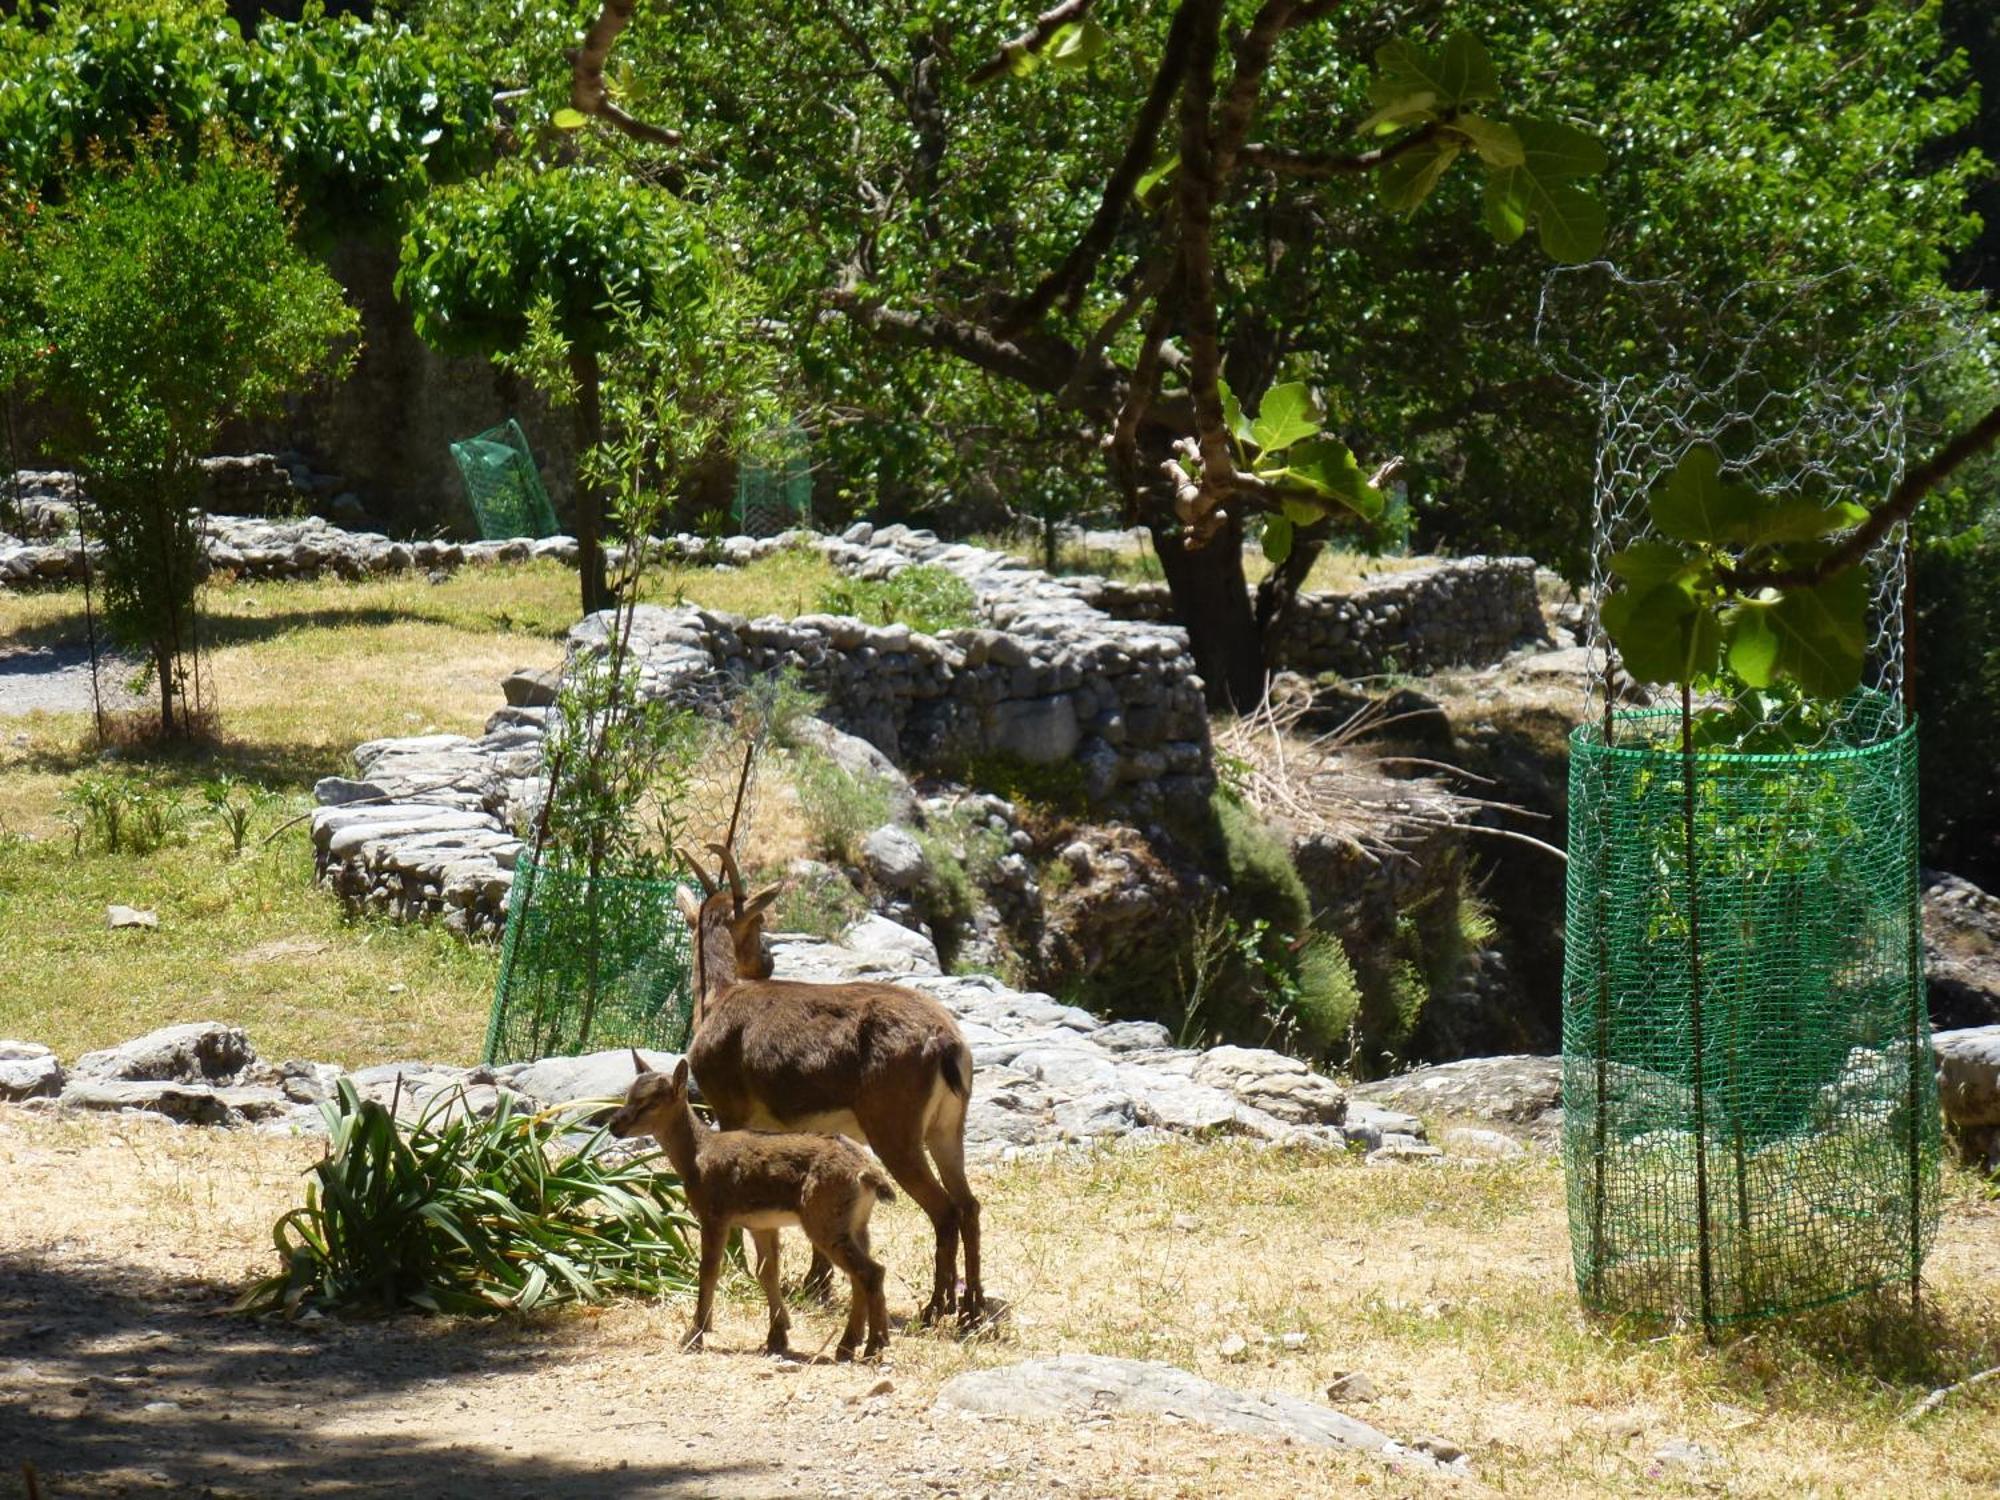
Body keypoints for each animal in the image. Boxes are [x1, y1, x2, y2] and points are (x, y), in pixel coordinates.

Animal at [676, 848, 980, 1328]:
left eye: (759, 920)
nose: (766, 961)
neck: (717, 999)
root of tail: (947, 1042)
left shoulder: (730, 1107)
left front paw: (741, 1265)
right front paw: (816, 1283)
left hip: (895, 1127)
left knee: (945, 1209)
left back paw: (936, 1308)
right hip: (947, 1125)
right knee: (969, 1204)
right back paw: (972, 1308)